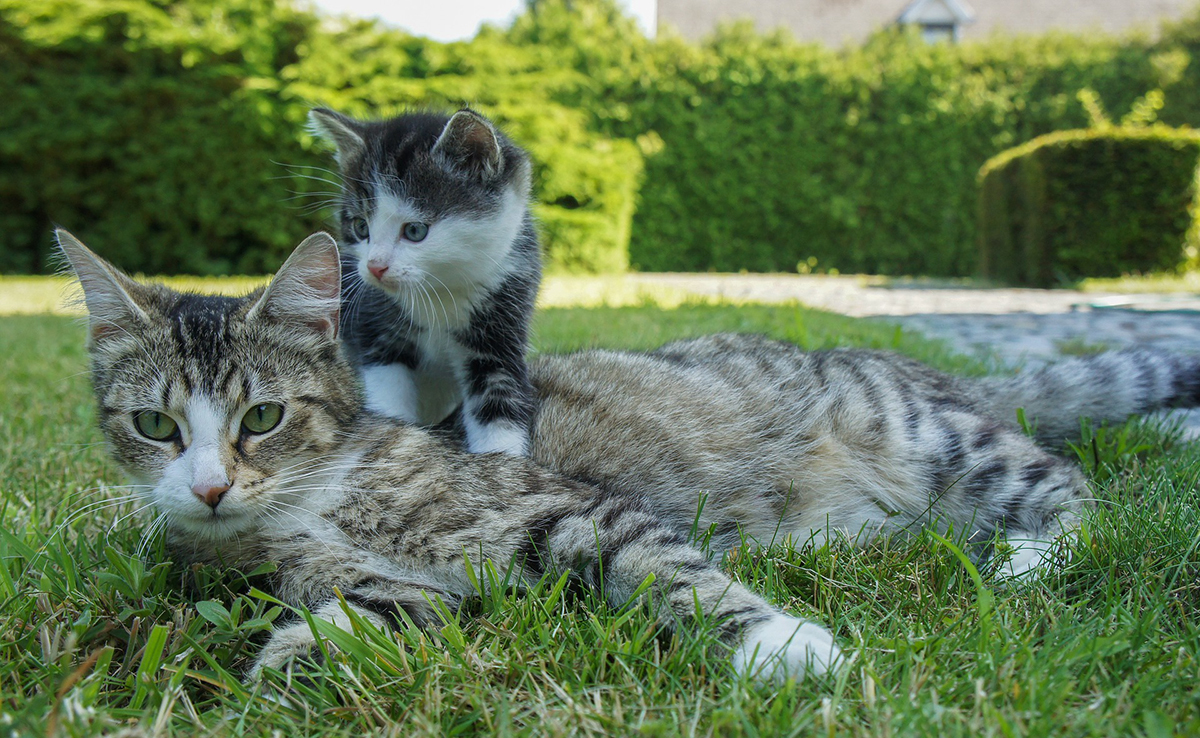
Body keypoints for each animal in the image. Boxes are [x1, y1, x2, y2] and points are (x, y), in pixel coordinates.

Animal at [309, 105, 540, 456]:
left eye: (415, 231)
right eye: (361, 227)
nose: (375, 267)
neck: (438, 290)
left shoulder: (502, 324)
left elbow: (499, 405)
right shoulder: (376, 330)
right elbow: (388, 398)